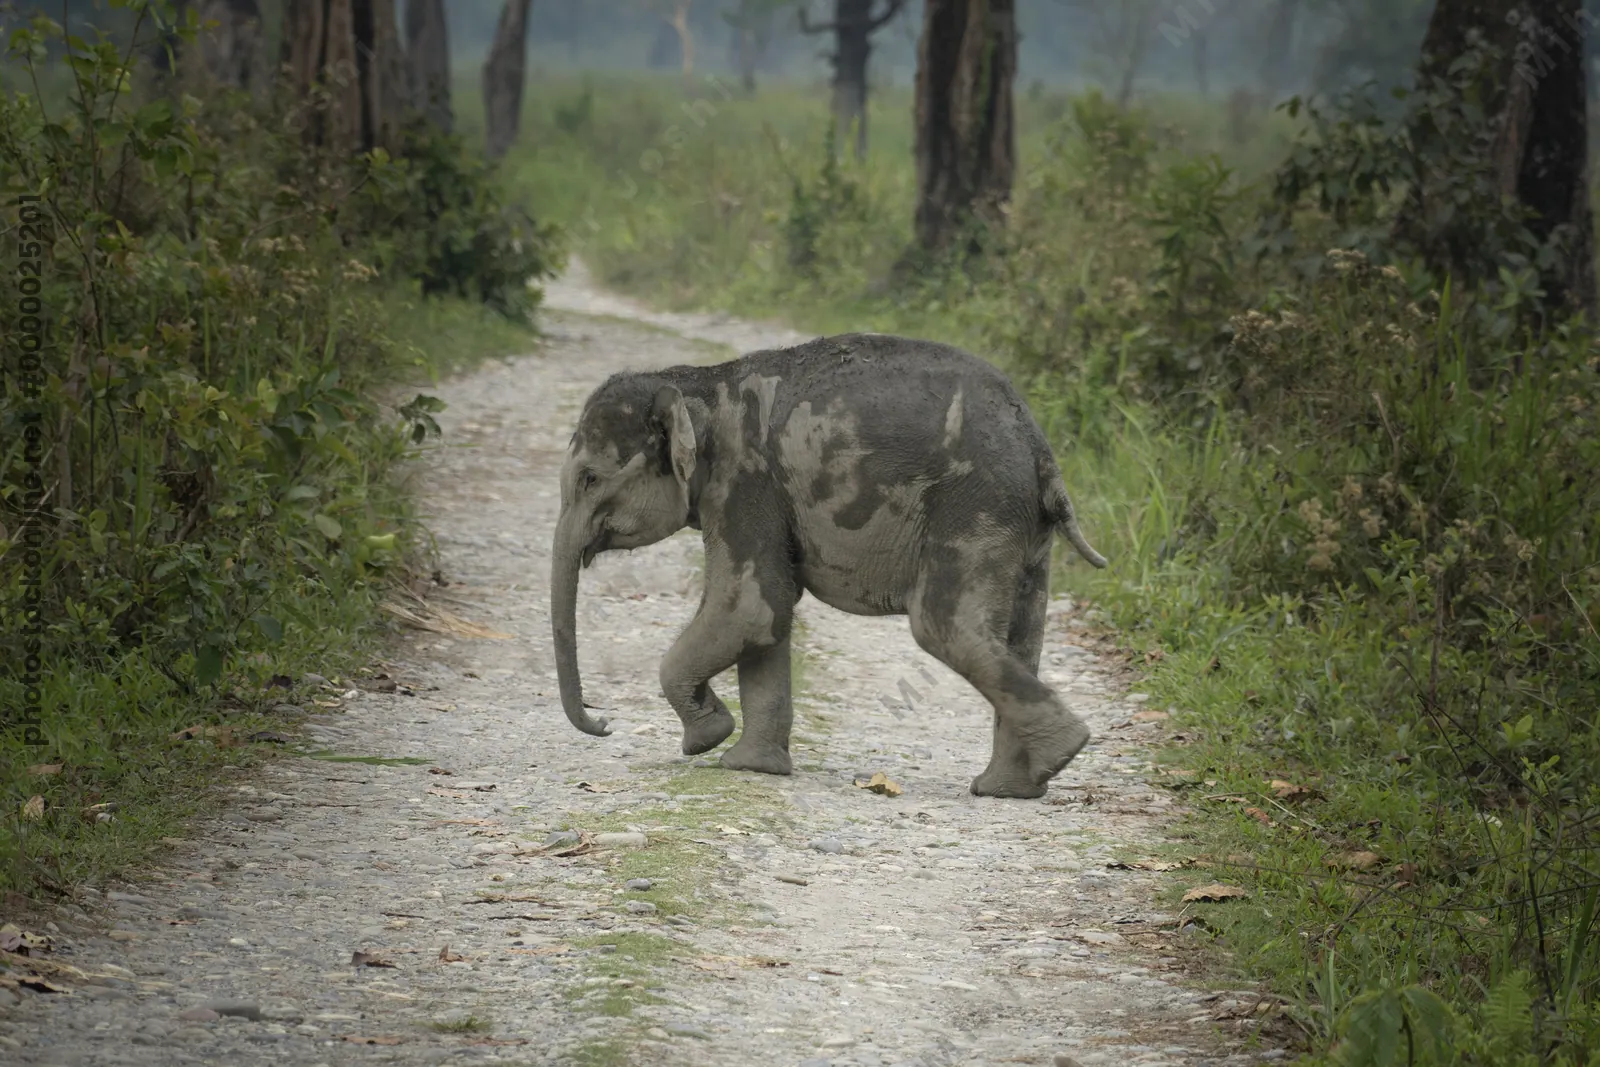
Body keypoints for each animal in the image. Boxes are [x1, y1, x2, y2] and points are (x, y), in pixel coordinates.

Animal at [550, 332, 1108, 799]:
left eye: (589, 479)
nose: (604, 724)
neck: (698, 383)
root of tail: (1039, 449)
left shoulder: (745, 481)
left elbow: (750, 609)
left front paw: (707, 738)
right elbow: (767, 618)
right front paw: (750, 766)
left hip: (976, 504)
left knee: (943, 625)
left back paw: (1057, 753)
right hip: (1024, 527)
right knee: (1021, 634)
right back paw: (1011, 787)